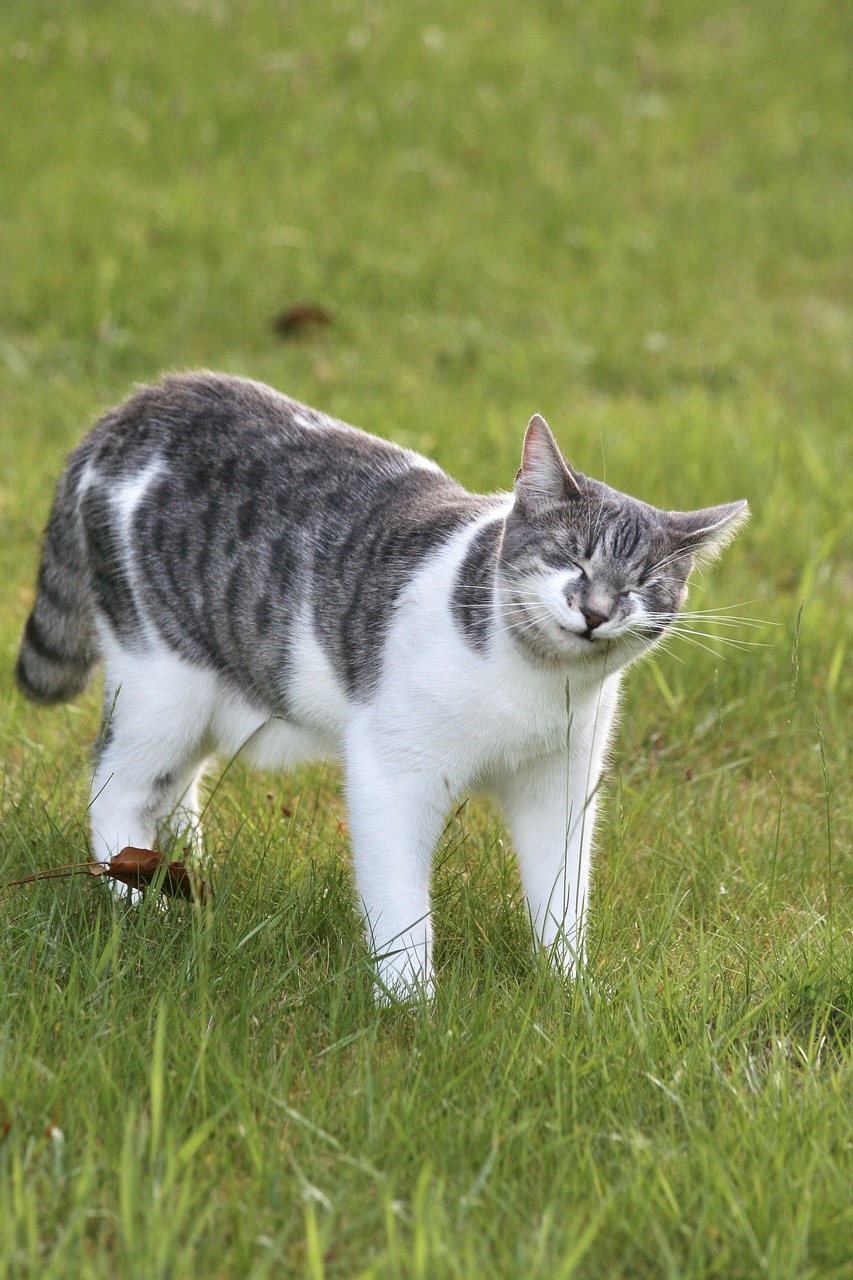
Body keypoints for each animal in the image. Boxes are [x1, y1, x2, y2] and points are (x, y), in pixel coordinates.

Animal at [13, 373, 742, 998]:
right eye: (572, 559)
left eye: (640, 587)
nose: (596, 612)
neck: (532, 686)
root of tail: (136, 405)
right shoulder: (394, 774)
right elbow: (399, 902)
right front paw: (410, 1007)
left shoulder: (560, 781)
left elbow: (560, 897)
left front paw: (568, 991)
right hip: (162, 681)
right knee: (115, 789)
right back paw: (136, 899)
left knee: (172, 787)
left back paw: (177, 868)